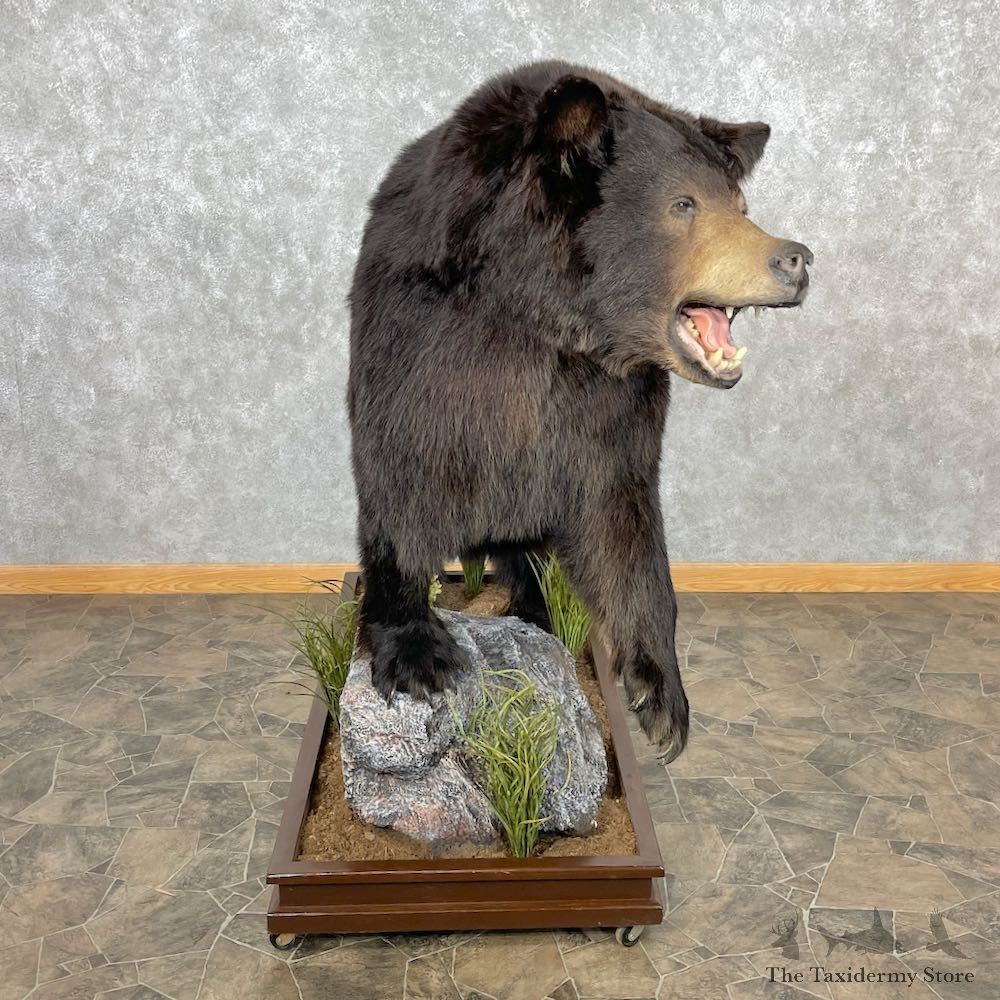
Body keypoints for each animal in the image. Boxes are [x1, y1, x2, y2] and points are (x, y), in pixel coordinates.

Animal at [347, 60, 812, 763]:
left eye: (741, 206)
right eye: (683, 205)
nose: (796, 259)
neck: (551, 321)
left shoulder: (612, 406)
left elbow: (623, 517)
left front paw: (661, 700)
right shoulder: (425, 352)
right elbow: (402, 482)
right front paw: (418, 657)